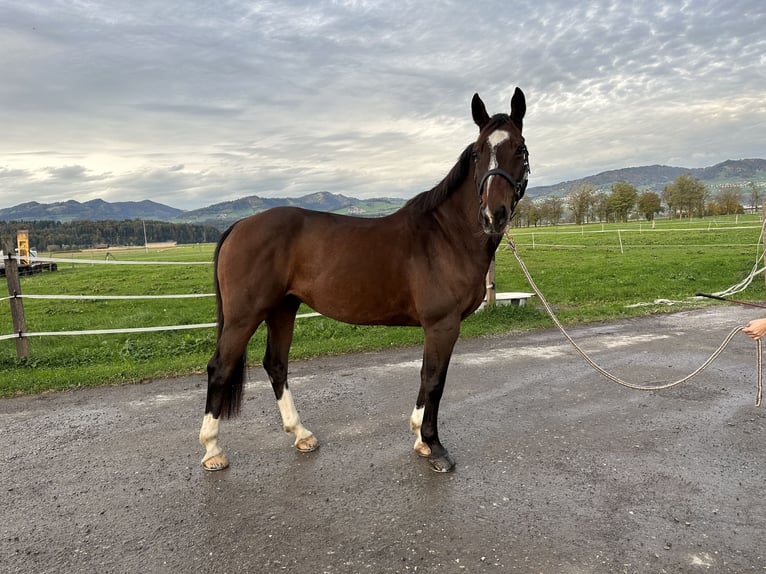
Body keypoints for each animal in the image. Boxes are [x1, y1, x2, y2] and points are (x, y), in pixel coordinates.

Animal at [201, 88, 532, 474]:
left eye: (519, 149)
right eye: (478, 152)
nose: (494, 215)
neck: (447, 234)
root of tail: (241, 224)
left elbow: (427, 379)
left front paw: (420, 439)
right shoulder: (442, 325)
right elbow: (434, 380)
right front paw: (434, 447)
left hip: (282, 308)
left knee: (276, 365)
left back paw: (301, 434)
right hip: (245, 315)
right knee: (220, 368)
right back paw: (212, 450)